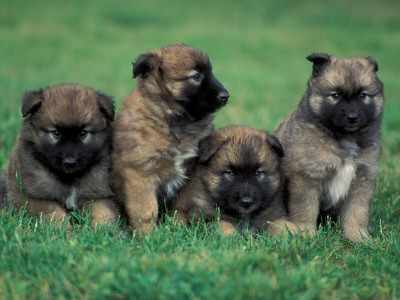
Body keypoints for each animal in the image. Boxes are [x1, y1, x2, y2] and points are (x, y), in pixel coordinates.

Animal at [0, 82, 119, 227]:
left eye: (83, 133)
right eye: (56, 133)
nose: (69, 163)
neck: (70, 179)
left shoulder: (97, 195)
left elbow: (104, 213)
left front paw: (107, 229)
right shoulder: (34, 197)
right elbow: (54, 213)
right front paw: (64, 229)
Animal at [111, 43, 230, 231]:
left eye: (211, 72)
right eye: (196, 76)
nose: (225, 96)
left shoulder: (190, 172)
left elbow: (181, 206)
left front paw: (177, 227)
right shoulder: (140, 173)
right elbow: (146, 210)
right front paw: (148, 234)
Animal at [274, 52, 382, 243]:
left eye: (363, 95)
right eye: (335, 95)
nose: (352, 117)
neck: (344, 139)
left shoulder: (363, 178)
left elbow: (357, 212)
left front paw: (359, 237)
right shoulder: (306, 177)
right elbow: (305, 210)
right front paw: (307, 235)